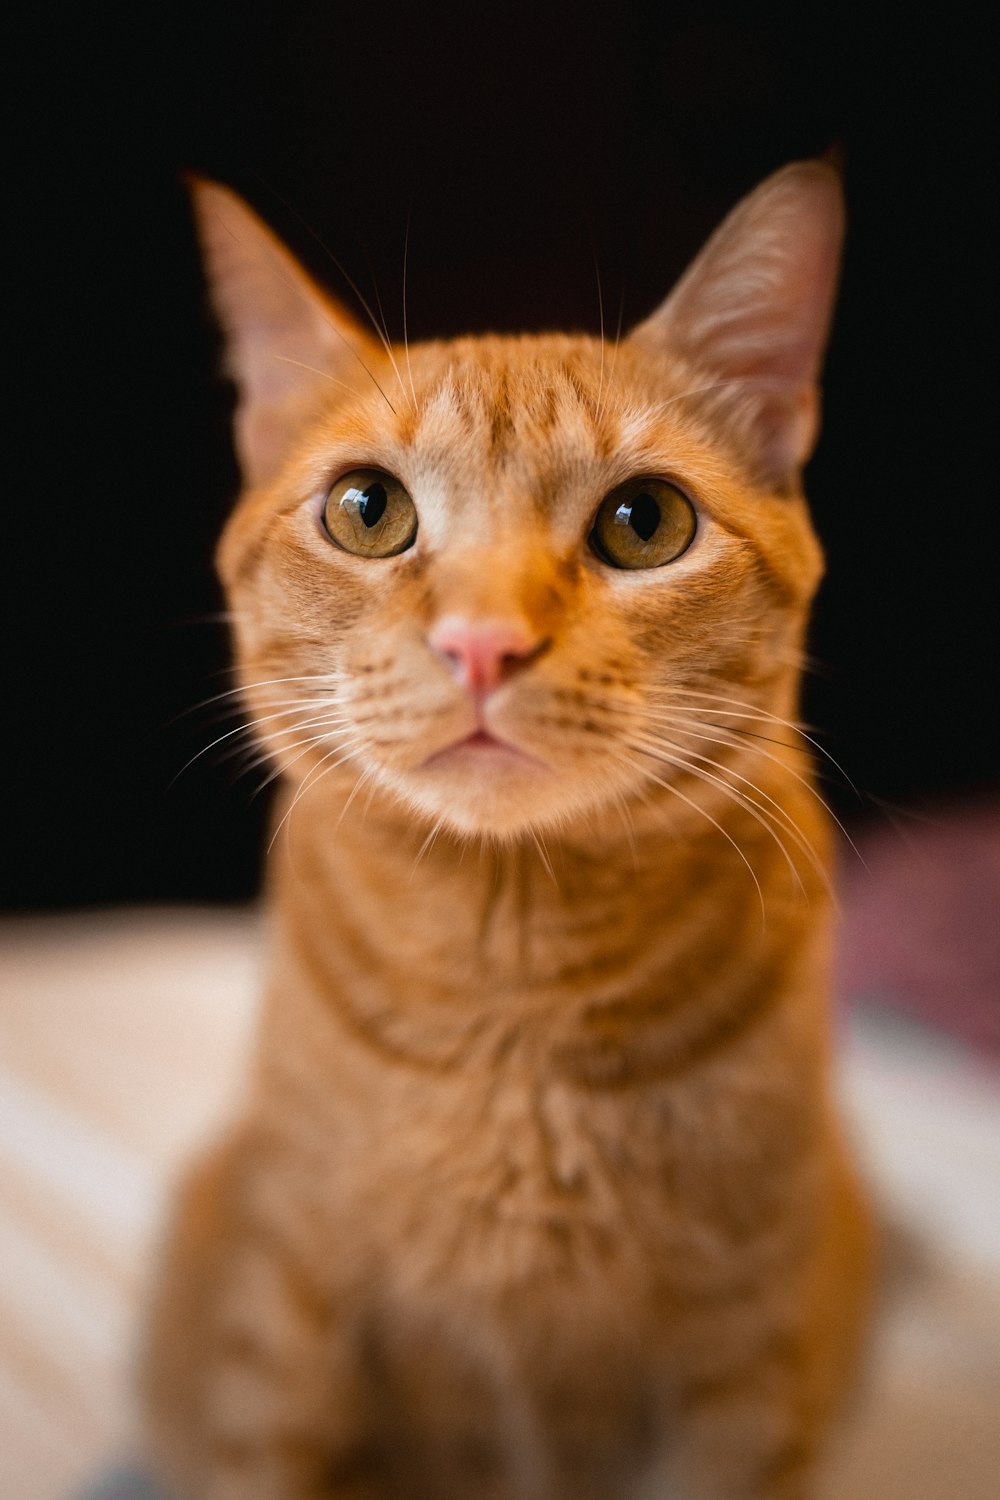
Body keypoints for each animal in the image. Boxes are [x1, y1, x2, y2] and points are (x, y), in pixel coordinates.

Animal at [140, 167, 875, 1500]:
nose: (482, 642)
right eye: (366, 510)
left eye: (644, 522)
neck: (513, 993)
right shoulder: (285, 1311)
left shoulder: (746, 1351)